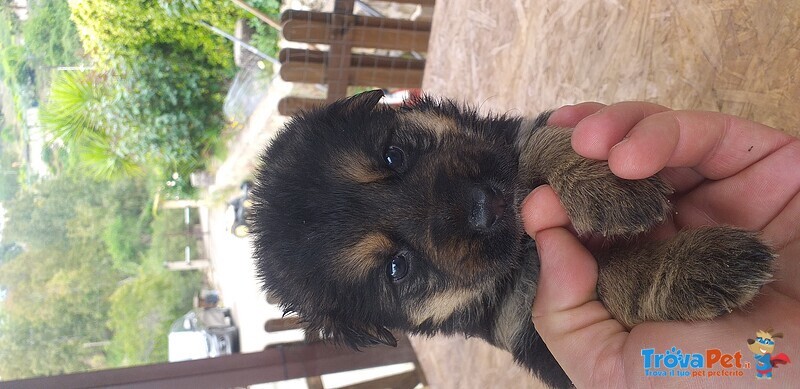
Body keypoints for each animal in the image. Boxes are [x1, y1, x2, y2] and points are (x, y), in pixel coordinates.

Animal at [252, 90, 776, 384]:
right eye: (397, 268)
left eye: (393, 156)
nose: (484, 206)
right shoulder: (527, 319)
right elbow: (605, 277)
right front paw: (697, 268)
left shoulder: (511, 142)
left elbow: (538, 140)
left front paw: (605, 182)